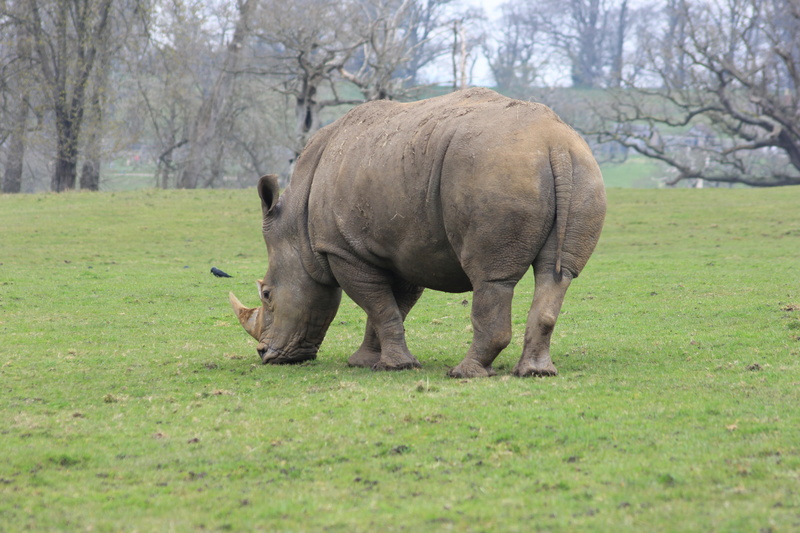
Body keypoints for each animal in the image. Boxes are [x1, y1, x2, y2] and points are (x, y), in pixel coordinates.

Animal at [229, 88, 606, 378]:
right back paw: (536, 372)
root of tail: (555, 144)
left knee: (491, 278)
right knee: (557, 275)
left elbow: (378, 305)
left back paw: (463, 373)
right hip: (580, 170)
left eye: (267, 294)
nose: (265, 355)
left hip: (497, 168)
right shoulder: (403, 250)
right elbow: (391, 306)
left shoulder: (342, 249)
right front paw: (366, 362)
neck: (297, 227)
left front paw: (392, 367)